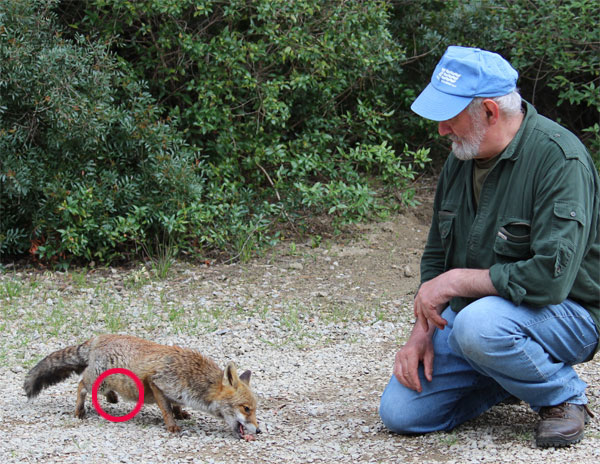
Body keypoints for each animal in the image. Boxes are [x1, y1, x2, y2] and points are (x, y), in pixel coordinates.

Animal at [23, 336, 260, 440]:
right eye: (246, 408)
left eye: (254, 410)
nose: (259, 430)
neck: (191, 375)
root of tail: (97, 338)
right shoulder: (156, 383)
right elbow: (166, 409)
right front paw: (172, 426)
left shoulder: (174, 391)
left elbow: (175, 405)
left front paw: (181, 413)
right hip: (95, 379)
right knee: (81, 385)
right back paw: (80, 410)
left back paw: (111, 398)